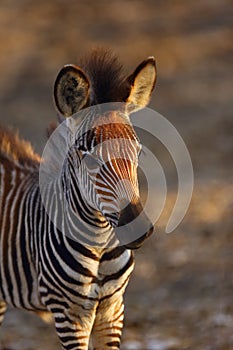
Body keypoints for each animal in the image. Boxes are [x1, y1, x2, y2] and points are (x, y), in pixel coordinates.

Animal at [0, 50, 157, 350]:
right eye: (91, 159)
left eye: (138, 152)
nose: (137, 230)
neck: (101, 244)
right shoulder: (69, 314)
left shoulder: (113, 308)